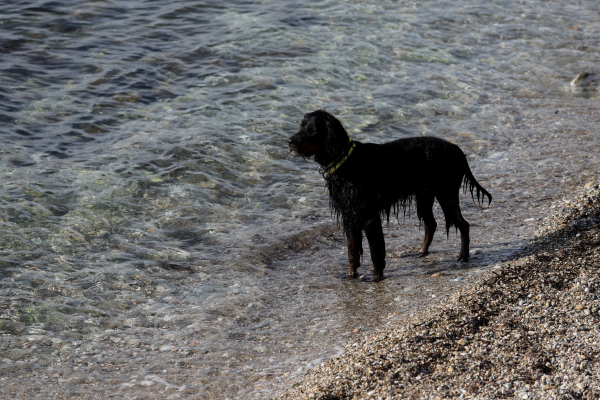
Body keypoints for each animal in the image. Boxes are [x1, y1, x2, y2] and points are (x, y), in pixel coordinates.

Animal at [288, 108, 492, 280]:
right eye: (301, 125)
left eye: (312, 129)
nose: (289, 142)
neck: (346, 162)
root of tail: (455, 148)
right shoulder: (349, 215)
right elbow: (352, 250)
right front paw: (351, 275)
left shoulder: (368, 215)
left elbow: (375, 250)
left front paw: (376, 277)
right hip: (424, 197)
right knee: (431, 225)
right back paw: (421, 252)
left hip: (446, 194)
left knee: (464, 225)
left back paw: (463, 256)